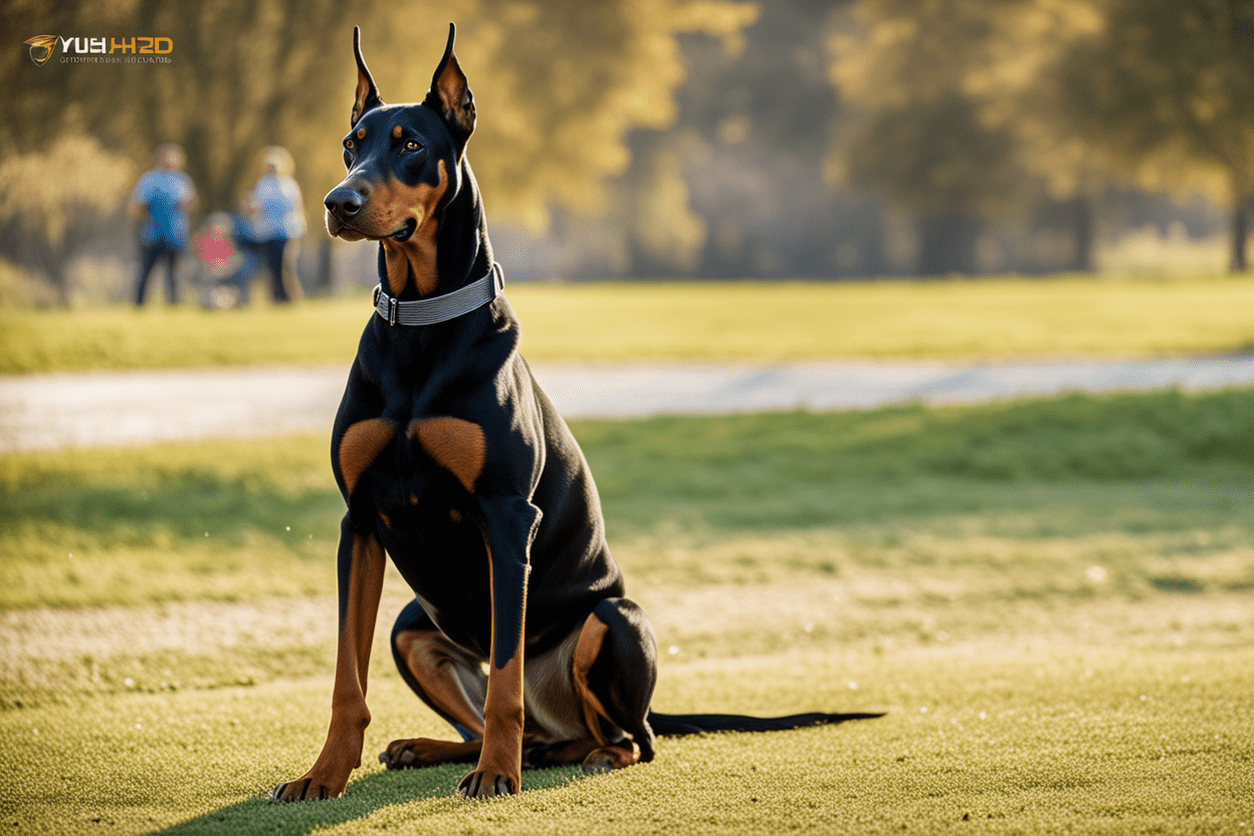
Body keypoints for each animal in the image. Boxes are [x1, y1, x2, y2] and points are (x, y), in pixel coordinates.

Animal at [272, 26, 882, 802]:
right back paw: (434, 747)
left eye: (409, 144)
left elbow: (504, 677)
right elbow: (346, 682)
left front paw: (494, 777)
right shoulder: (361, 519)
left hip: (613, 618)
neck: (421, 325)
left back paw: (558, 757)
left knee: (623, 738)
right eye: (352, 144)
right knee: (520, 727)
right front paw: (322, 775)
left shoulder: (506, 516)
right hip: (412, 626)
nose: (338, 201)